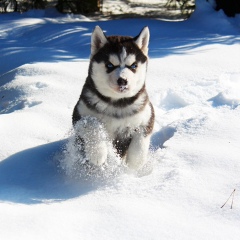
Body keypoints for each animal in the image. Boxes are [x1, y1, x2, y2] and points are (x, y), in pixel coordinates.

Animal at [72, 25, 155, 170]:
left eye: (133, 65)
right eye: (109, 65)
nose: (122, 81)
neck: (117, 104)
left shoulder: (147, 115)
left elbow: (140, 140)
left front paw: (135, 163)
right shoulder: (79, 114)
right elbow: (92, 125)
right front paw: (98, 154)